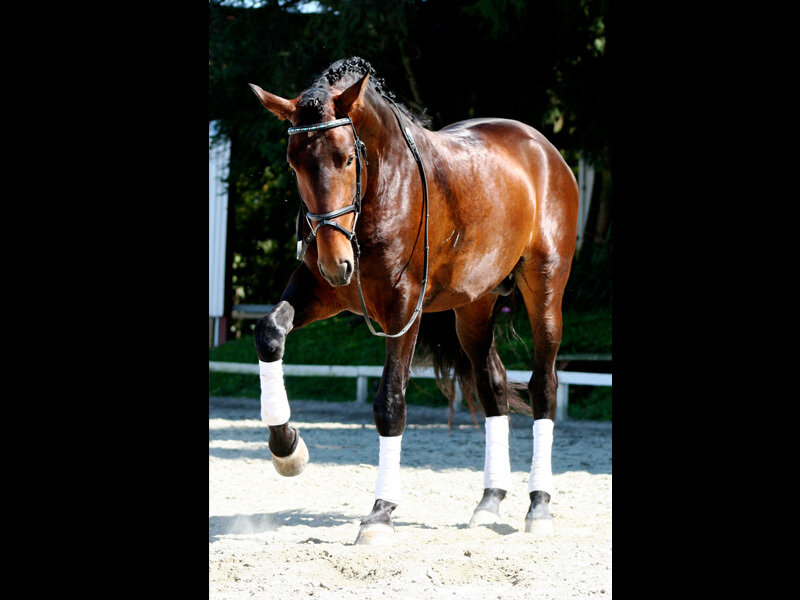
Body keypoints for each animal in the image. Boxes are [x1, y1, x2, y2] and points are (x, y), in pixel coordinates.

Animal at [249, 57, 578, 545]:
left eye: (347, 158)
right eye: (293, 164)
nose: (335, 262)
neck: (383, 189)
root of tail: (542, 147)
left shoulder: (403, 309)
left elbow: (389, 402)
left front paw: (380, 513)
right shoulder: (319, 289)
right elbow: (269, 332)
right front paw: (286, 449)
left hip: (545, 289)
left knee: (544, 386)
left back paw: (538, 505)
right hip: (474, 307)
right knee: (493, 385)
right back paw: (489, 500)